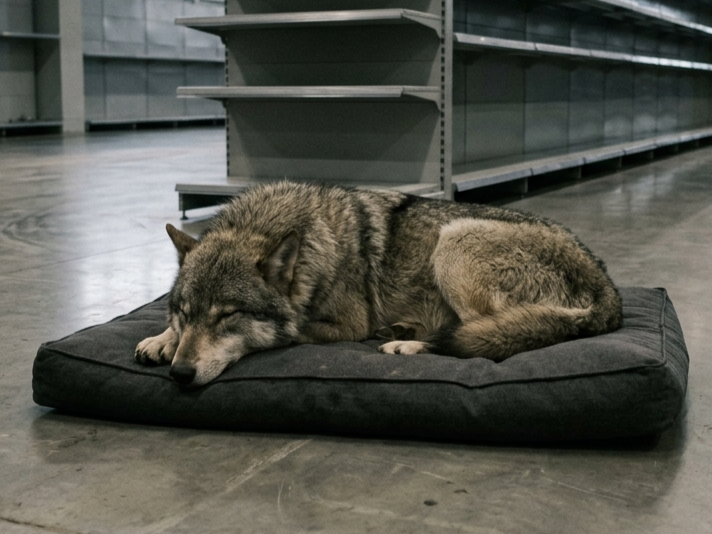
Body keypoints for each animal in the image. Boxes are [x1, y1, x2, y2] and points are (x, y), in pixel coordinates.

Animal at [135, 181, 622, 387]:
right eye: (184, 312)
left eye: (228, 316)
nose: (180, 374)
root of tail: (608, 285)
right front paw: (161, 340)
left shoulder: (348, 326)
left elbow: (284, 332)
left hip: (453, 240)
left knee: (484, 340)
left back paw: (407, 343)